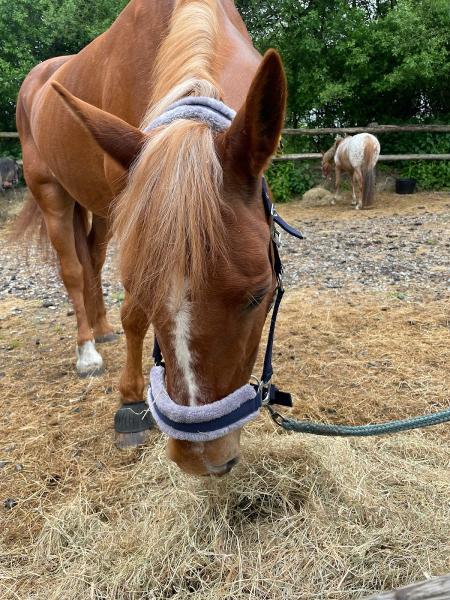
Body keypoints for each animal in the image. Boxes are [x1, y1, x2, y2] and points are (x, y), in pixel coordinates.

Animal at [16, 2, 288, 476]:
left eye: (259, 295)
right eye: (143, 286)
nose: (201, 459)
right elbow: (134, 316)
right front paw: (129, 404)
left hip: (102, 211)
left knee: (92, 258)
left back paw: (102, 329)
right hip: (52, 193)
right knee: (73, 270)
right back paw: (87, 351)